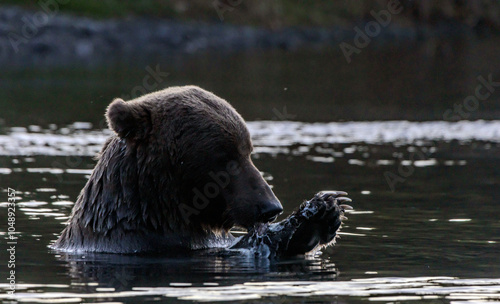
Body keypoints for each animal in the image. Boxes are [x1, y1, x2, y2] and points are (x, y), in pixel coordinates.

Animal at [53, 85, 352, 256]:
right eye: (226, 157)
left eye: (248, 151)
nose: (270, 207)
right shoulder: (142, 241)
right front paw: (314, 216)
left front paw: (327, 208)